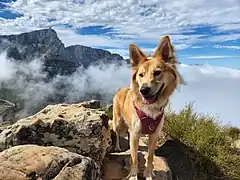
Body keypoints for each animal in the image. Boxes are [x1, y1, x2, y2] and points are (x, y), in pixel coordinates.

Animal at [111, 35, 183, 180]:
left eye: (157, 72)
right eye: (141, 75)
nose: (144, 90)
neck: (150, 108)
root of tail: (120, 89)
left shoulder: (154, 135)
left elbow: (150, 156)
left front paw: (149, 174)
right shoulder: (135, 133)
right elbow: (134, 158)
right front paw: (133, 176)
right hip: (117, 121)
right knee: (117, 134)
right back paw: (117, 146)